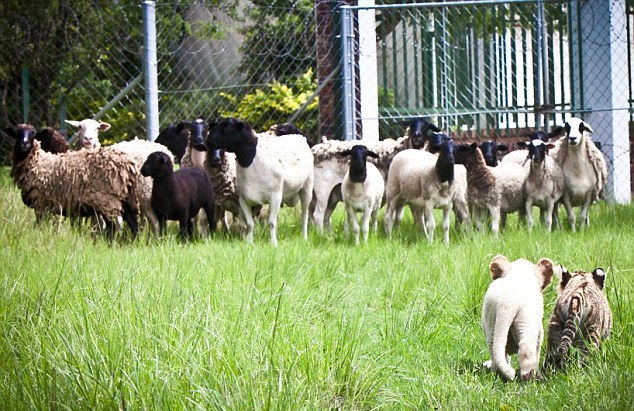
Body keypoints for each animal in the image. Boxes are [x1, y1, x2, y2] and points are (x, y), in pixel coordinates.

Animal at [7, 123, 138, 238]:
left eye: (33, 133)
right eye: (17, 133)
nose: (24, 144)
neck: (38, 162)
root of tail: (127, 165)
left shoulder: (40, 203)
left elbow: (39, 225)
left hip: (107, 201)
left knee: (113, 227)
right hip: (125, 199)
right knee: (132, 222)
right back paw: (134, 242)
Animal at [206, 117, 312, 246]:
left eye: (228, 126)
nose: (209, 140)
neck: (251, 161)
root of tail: (299, 136)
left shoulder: (275, 196)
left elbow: (271, 223)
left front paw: (274, 244)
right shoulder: (243, 199)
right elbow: (250, 224)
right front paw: (249, 243)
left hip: (307, 188)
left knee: (304, 215)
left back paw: (304, 238)